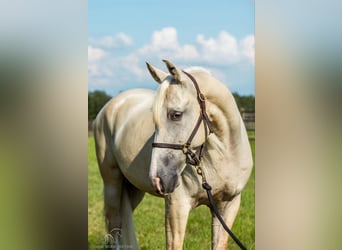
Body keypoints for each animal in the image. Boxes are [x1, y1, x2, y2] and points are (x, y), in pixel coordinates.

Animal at [93, 59, 254, 249]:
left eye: (176, 114)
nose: (158, 179)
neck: (225, 156)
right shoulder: (177, 207)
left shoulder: (227, 207)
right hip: (112, 183)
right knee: (114, 225)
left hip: (133, 188)